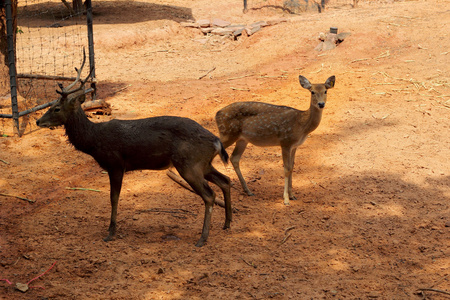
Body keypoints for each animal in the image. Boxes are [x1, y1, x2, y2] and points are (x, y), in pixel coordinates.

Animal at [36, 52, 232, 248]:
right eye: (51, 105)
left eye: (56, 108)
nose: (38, 121)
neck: (94, 141)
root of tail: (216, 141)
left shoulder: (115, 164)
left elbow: (113, 198)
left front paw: (110, 233)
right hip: (203, 163)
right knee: (226, 180)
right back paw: (227, 223)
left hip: (189, 163)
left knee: (209, 194)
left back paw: (202, 238)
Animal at [214, 75, 334, 206]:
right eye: (312, 92)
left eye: (325, 91)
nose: (321, 104)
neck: (302, 125)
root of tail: (217, 114)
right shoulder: (285, 141)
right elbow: (286, 169)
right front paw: (286, 199)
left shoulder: (295, 146)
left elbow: (292, 167)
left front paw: (292, 195)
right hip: (227, 133)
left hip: (242, 139)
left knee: (234, 158)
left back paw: (248, 191)